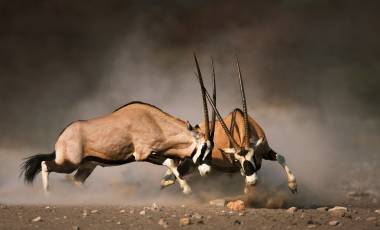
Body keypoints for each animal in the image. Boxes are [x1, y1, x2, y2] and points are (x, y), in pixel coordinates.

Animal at [20, 95, 215, 194]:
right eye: (203, 148)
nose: (207, 171)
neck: (154, 121)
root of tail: (62, 135)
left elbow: (173, 163)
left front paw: (170, 183)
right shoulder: (142, 154)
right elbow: (170, 162)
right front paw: (186, 188)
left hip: (87, 165)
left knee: (77, 180)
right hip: (69, 163)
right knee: (45, 164)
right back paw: (48, 194)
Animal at [160, 56, 296, 194]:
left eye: (253, 156)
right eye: (237, 159)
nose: (252, 182)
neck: (241, 125)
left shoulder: (265, 150)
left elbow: (280, 157)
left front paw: (293, 185)